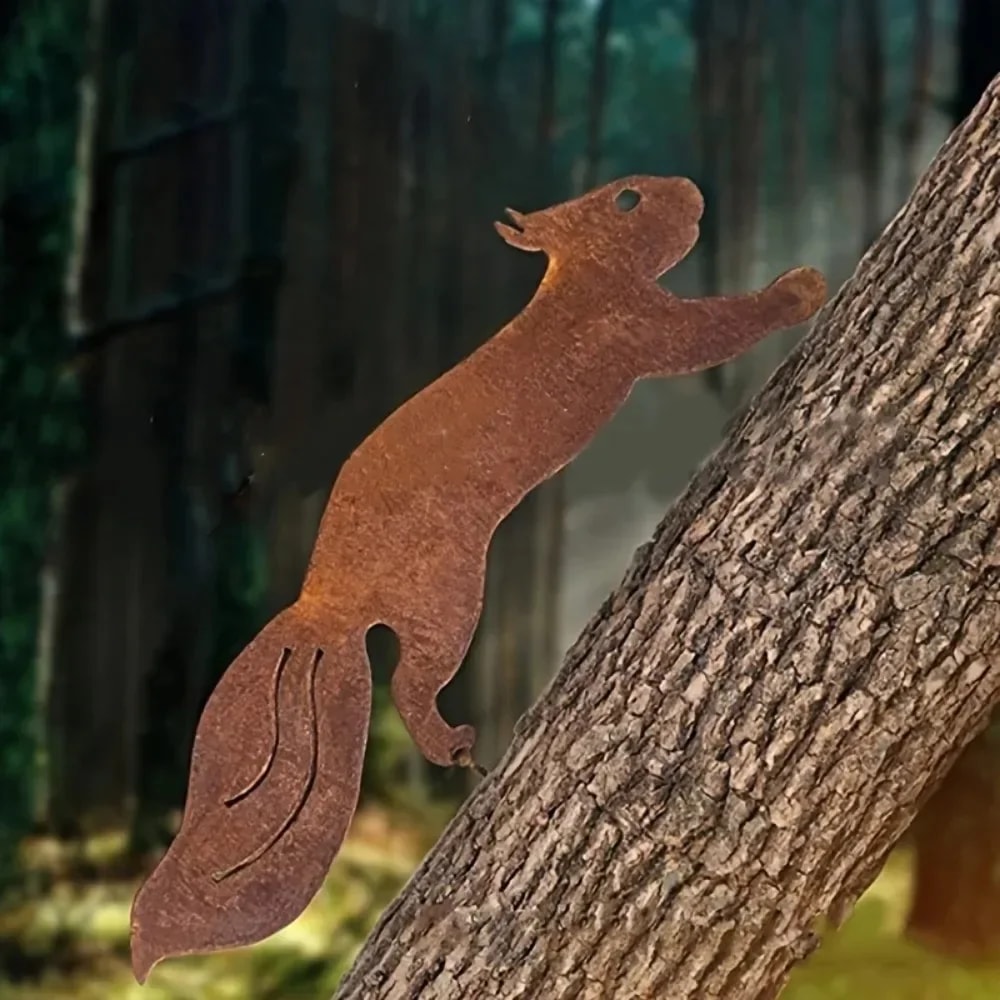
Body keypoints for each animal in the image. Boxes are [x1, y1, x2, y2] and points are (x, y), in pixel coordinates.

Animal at [130, 175, 827, 981]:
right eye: (627, 198)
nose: (690, 191)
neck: (574, 282)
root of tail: (325, 604)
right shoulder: (636, 324)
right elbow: (712, 330)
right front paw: (800, 290)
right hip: (448, 602)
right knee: (408, 684)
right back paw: (456, 743)